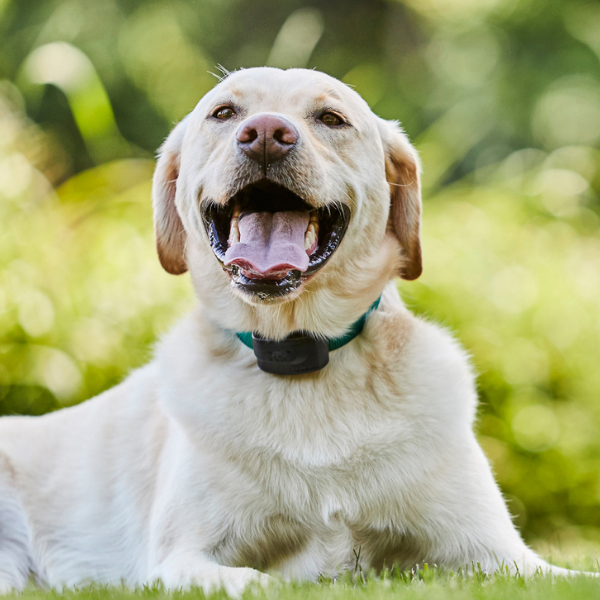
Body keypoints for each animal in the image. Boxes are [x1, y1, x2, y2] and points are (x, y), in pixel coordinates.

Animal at [0, 68, 584, 592]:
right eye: (223, 113)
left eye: (331, 118)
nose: (264, 134)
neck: (297, 354)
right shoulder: (180, 558)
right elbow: (259, 581)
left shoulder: (501, 554)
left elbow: (564, 575)